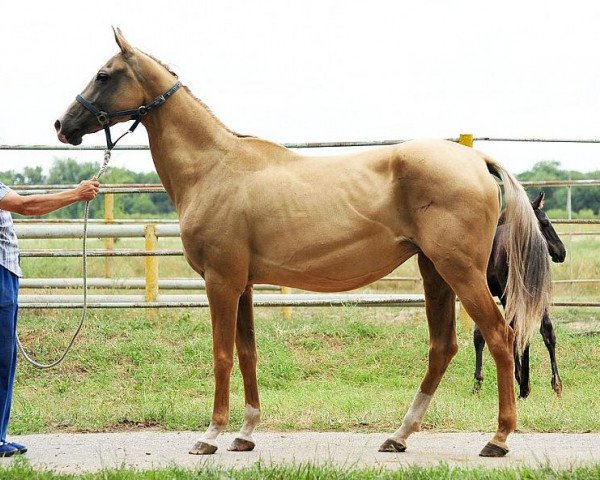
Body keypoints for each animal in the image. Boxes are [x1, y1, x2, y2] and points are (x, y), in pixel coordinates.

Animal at [54, 30, 552, 458]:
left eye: (104, 74)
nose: (62, 124)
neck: (214, 167)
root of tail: (475, 158)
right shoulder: (243, 286)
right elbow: (247, 353)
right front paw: (245, 433)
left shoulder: (221, 282)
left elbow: (221, 355)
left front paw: (210, 435)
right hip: (435, 272)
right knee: (442, 347)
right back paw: (399, 435)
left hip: (460, 273)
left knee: (500, 336)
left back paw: (498, 438)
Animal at [474, 193, 568, 400]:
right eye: (545, 222)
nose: (562, 252)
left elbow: (482, 334)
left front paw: (477, 382)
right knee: (546, 331)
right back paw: (554, 384)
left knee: (518, 330)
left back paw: (523, 385)